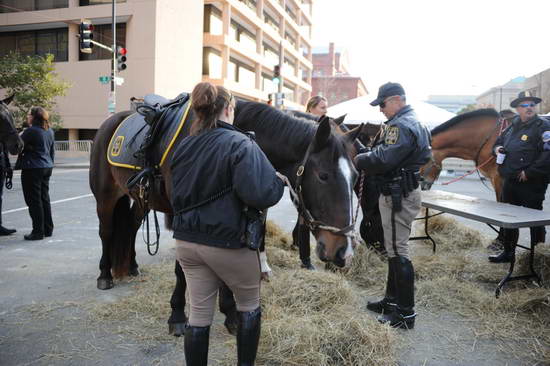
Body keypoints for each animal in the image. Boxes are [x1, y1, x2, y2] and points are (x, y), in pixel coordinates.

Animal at [90, 97, 364, 334]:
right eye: (323, 176)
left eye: (354, 176)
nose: (343, 251)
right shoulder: (186, 215)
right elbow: (182, 270)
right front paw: (177, 315)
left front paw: (231, 313)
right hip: (105, 196)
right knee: (107, 232)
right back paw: (104, 275)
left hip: (140, 199)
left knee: (131, 226)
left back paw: (132, 266)